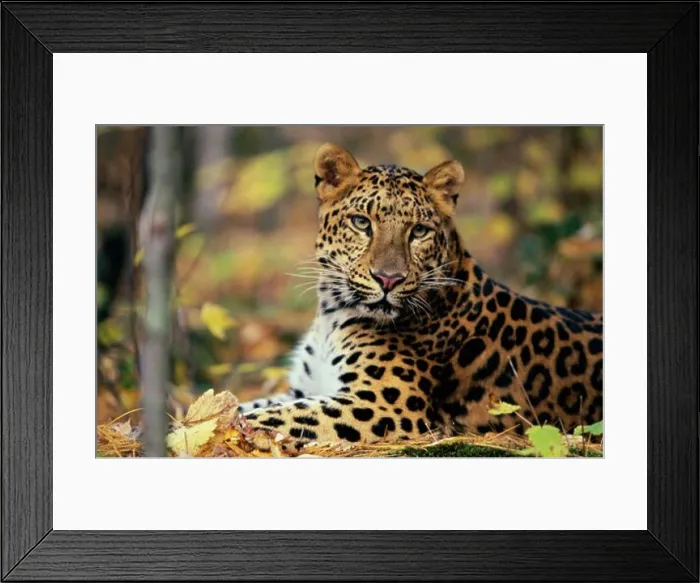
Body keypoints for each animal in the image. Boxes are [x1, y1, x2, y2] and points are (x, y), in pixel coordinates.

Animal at [240, 143, 603, 450]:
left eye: (418, 231)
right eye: (361, 223)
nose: (388, 279)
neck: (333, 314)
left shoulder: (383, 404)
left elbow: (268, 416)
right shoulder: (307, 388)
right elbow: (248, 404)